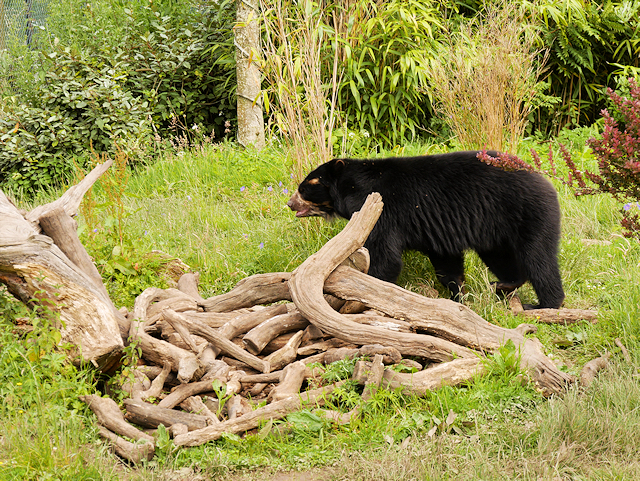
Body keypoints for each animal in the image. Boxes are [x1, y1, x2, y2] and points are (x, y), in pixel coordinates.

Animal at [287, 150, 565, 309]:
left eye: (305, 187)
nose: (290, 203)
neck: (354, 188)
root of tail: (545, 182)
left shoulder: (382, 210)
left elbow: (385, 256)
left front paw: (373, 289)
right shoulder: (438, 228)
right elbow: (447, 262)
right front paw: (457, 295)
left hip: (528, 213)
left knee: (539, 259)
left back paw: (543, 304)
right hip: (496, 231)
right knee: (504, 260)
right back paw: (503, 285)